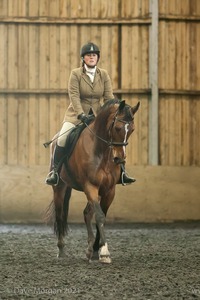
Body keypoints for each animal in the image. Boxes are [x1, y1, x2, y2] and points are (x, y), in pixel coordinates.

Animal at [46, 98, 140, 262]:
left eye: (132, 130)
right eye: (117, 128)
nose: (119, 159)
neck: (102, 151)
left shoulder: (109, 190)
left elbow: (100, 217)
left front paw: (97, 251)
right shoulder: (90, 186)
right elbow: (100, 216)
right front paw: (105, 253)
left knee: (86, 213)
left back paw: (90, 249)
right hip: (60, 186)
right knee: (59, 214)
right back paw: (61, 250)